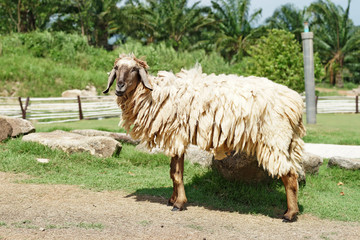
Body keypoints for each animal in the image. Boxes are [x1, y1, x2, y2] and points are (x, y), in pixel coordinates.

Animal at [103, 54, 306, 221]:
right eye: (116, 68)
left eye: (134, 69)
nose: (119, 87)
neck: (153, 95)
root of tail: (295, 103)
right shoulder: (177, 138)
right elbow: (173, 172)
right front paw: (173, 199)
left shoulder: (176, 136)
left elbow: (177, 174)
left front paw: (179, 204)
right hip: (287, 142)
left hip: (274, 139)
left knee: (290, 175)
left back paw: (290, 214)